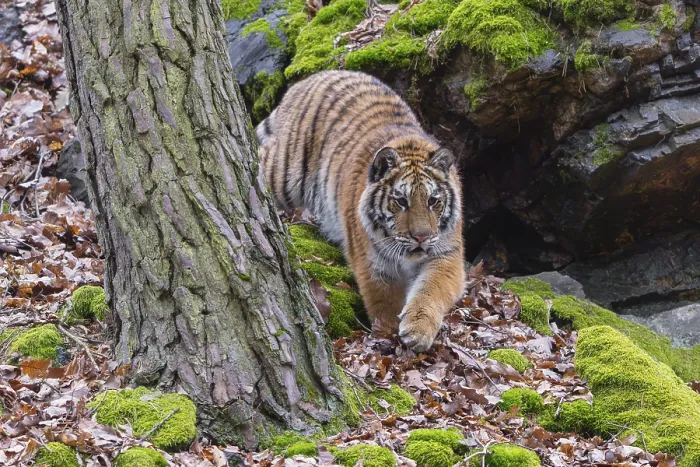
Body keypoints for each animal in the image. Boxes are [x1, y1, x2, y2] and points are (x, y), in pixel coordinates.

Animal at [256, 70, 465, 352]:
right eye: (401, 201)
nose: (421, 237)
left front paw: (418, 331)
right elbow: (384, 303)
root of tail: (308, 79)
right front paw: (387, 332)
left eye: (433, 201)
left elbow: (430, 291)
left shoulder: (446, 254)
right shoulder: (373, 263)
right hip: (284, 171)